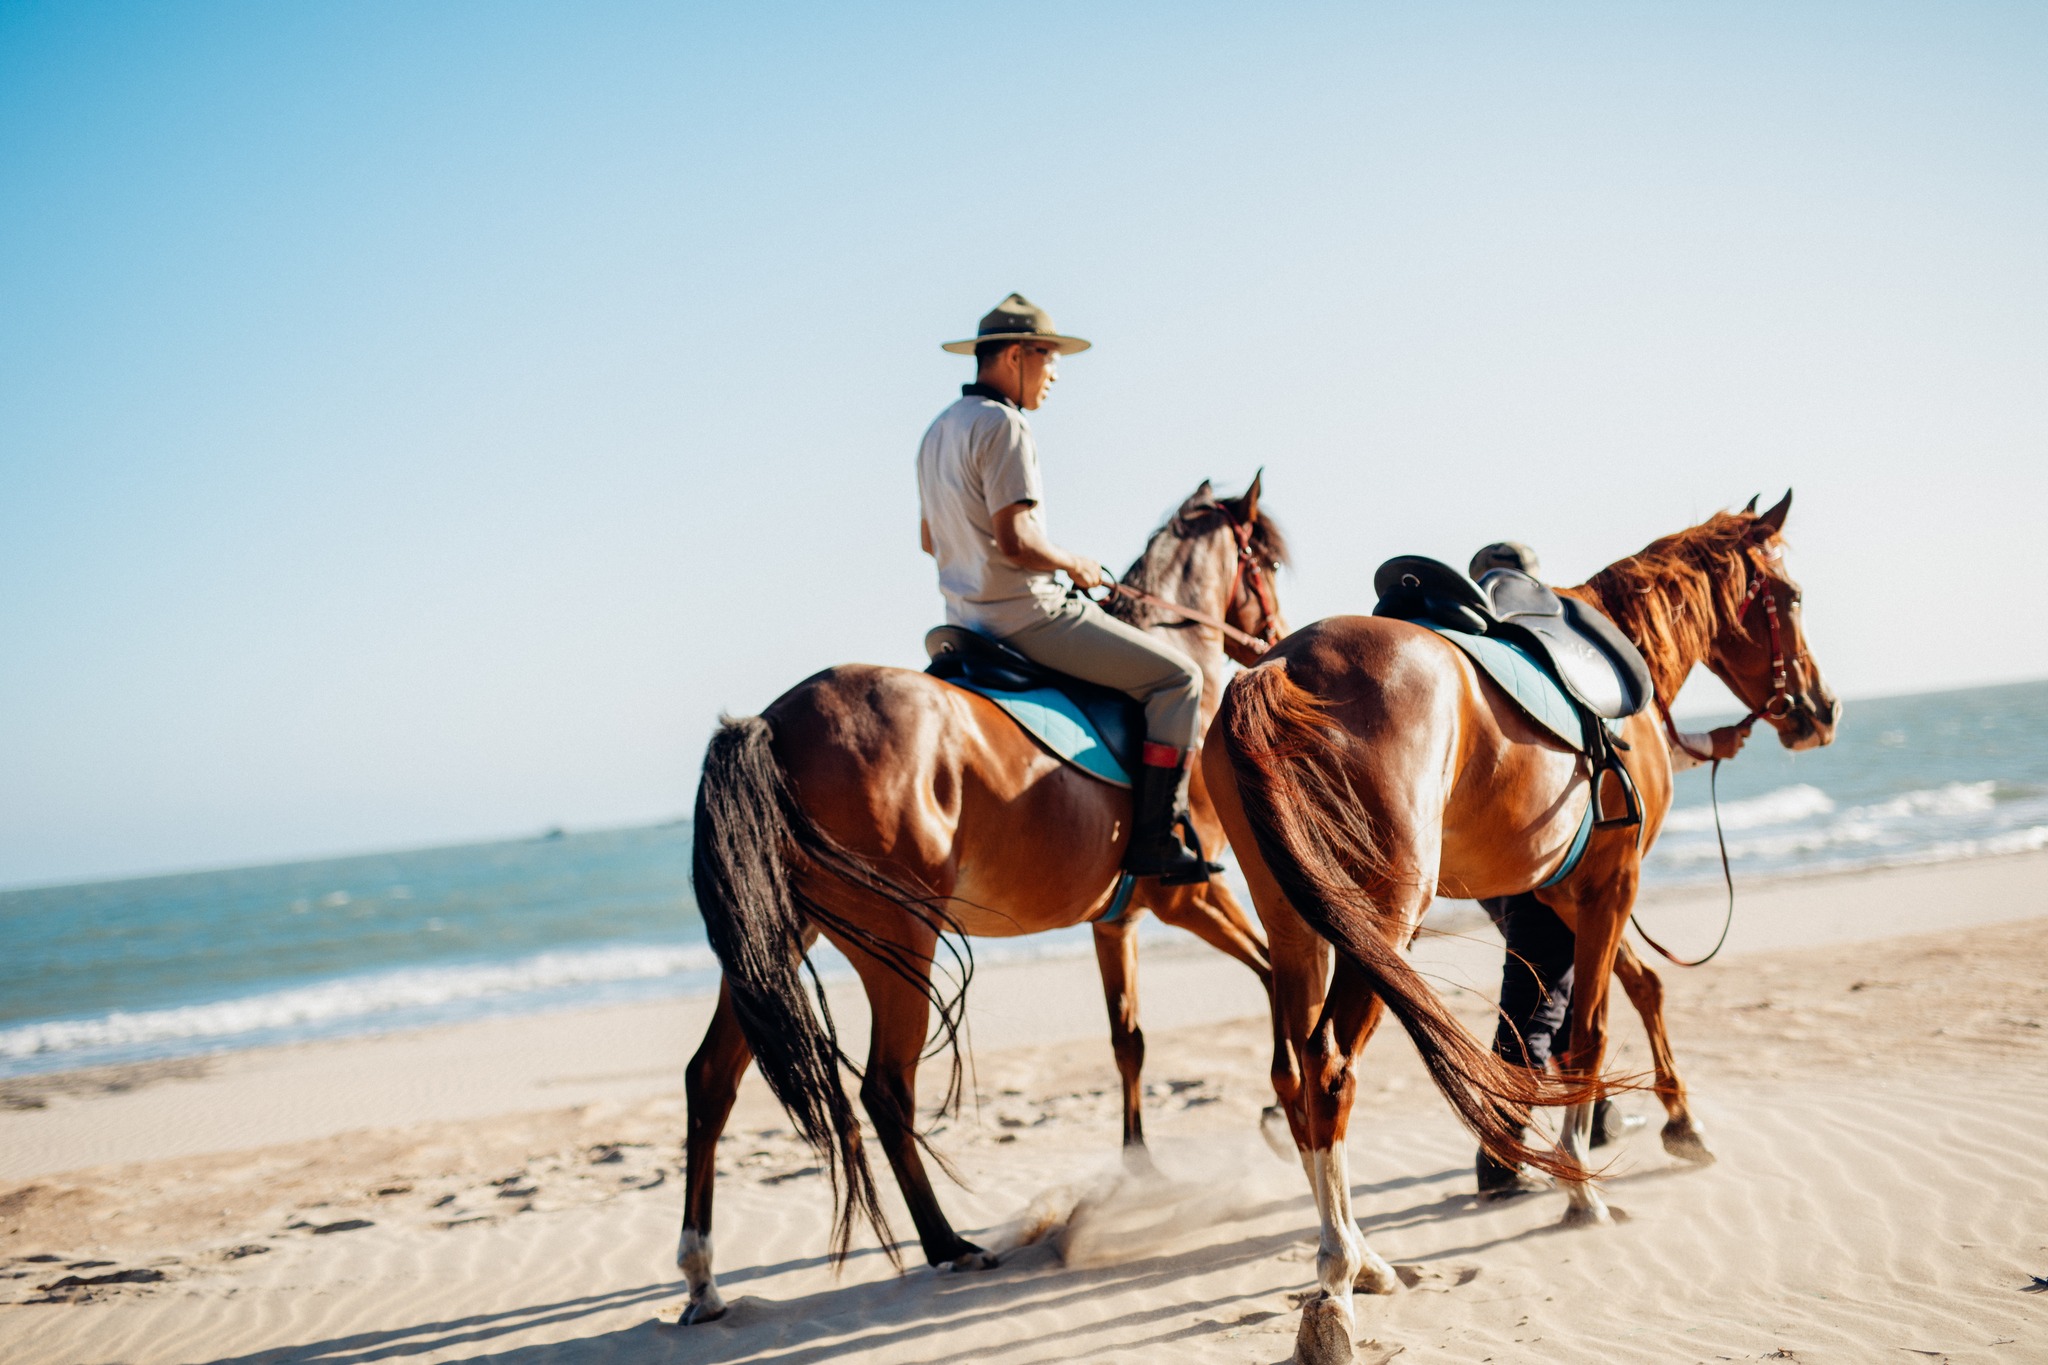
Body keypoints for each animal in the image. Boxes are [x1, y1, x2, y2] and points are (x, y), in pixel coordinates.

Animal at [679, 478, 1286, 1326]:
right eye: (1266, 561)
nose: (1276, 637)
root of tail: (772, 721)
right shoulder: (1189, 894)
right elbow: (1269, 972)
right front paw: (1275, 1117)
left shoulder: (1116, 921)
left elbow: (1128, 1039)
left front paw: (1139, 1170)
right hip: (898, 937)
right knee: (885, 1087)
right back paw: (948, 1244)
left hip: (777, 947)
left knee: (710, 1080)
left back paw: (703, 1278)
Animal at [1196, 489, 1843, 1358]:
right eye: (1793, 597)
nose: (1821, 709)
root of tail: (1274, 668)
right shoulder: (1611, 883)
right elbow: (1590, 1031)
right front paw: (1583, 1189)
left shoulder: (1566, 894)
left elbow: (1642, 988)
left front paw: (1680, 1118)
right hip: (1380, 923)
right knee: (1330, 1070)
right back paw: (1336, 1279)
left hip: (1296, 925)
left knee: (1294, 1074)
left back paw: (1365, 1258)